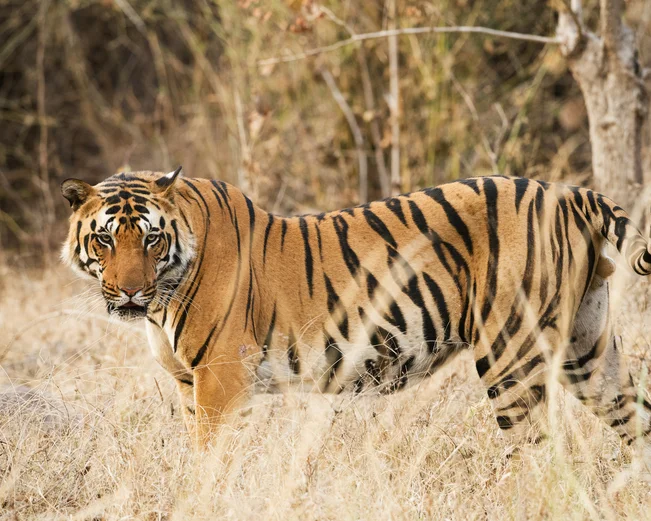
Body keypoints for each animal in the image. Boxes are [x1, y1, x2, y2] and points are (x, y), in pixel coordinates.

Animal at [61, 169, 651, 451]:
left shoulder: (221, 378)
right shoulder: (189, 383)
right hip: (587, 348)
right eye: (106, 240)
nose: (130, 293)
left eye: (151, 239)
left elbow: (210, 461)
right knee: (636, 421)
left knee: (537, 458)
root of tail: (570, 192)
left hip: (510, 353)